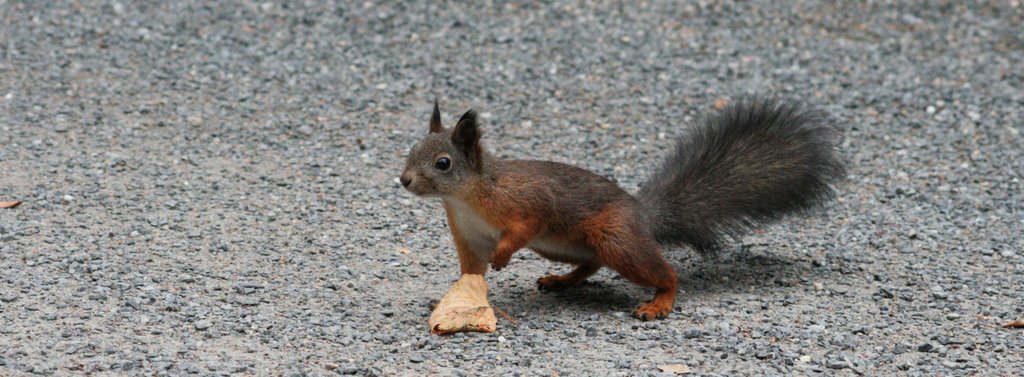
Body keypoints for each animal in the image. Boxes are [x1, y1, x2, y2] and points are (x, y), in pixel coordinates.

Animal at [401, 97, 847, 321]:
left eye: (443, 163)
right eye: (411, 149)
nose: (404, 180)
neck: (466, 198)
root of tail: (641, 215)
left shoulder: (527, 201)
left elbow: (525, 226)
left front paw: (504, 257)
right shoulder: (467, 235)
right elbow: (470, 270)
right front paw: (458, 297)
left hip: (615, 236)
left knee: (665, 273)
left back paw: (659, 302)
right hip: (564, 245)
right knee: (591, 263)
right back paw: (561, 280)